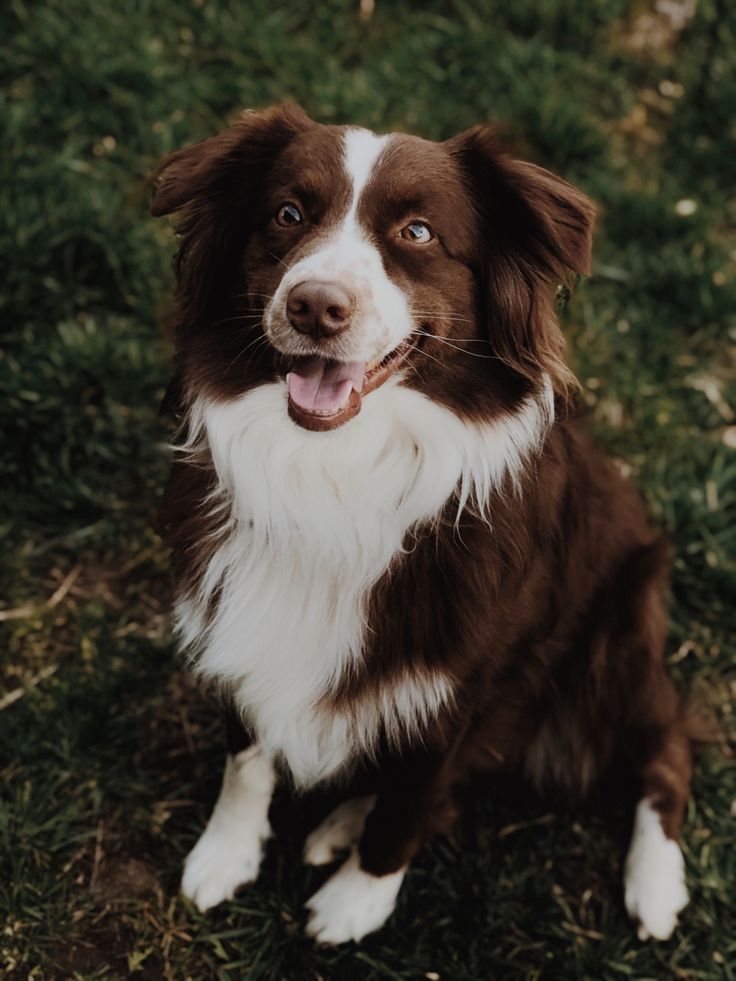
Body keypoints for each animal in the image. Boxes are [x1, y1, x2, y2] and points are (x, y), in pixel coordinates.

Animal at [151, 103, 696, 944]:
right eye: (286, 214)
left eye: (417, 233)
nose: (314, 307)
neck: (334, 475)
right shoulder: (239, 620)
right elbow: (246, 756)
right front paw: (225, 854)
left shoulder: (463, 678)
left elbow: (412, 798)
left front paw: (357, 899)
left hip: (620, 635)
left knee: (668, 746)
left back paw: (657, 885)